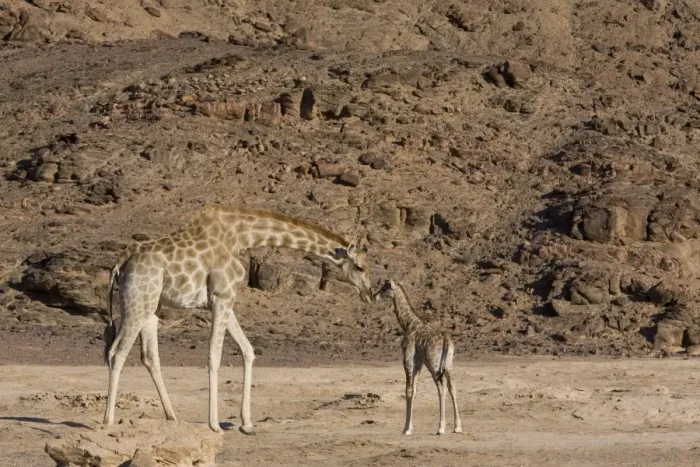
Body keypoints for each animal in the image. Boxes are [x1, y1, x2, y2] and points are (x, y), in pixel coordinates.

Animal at [102, 205, 373, 434]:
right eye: (360, 267)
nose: (370, 294)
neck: (241, 237)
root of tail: (120, 263)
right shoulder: (222, 296)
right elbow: (214, 356)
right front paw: (215, 425)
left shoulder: (224, 299)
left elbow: (248, 350)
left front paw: (247, 424)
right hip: (139, 303)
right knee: (117, 353)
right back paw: (108, 420)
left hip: (149, 307)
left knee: (146, 356)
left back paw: (172, 417)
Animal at [375, 279, 462, 436]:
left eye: (385, 288)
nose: (375, 295)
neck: (407, 323)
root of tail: (446, 340)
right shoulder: (419, 363)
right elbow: (414, 390)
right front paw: (409, 426)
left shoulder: (408, 360)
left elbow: (408, 391)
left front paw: (406, 428)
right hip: (448, 364)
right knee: (452, 386)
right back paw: (457, 427)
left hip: (434, 364)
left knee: (441, 387)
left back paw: (441, 428)